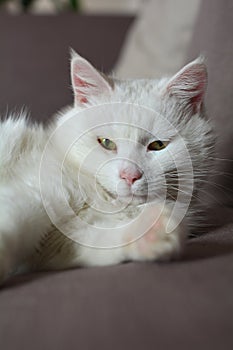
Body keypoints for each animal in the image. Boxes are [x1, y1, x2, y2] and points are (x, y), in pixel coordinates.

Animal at [0, 51, 213, 284]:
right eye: (106, 142)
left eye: (157, 145)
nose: (129, 176)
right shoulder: (34, 191)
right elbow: (12, 219)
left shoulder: (67, 240)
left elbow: (105, 239)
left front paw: (152, 232)